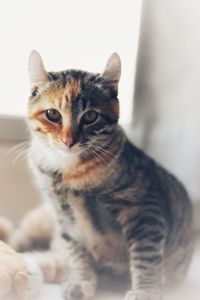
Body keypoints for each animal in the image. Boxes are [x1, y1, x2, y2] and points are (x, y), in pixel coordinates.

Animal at [26, 51, 194, 300]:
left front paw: (145, 291)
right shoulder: (64, 217)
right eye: (52, 114)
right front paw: (82, 282)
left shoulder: (144, 209)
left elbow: (145, 257)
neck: (69, 172)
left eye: (90, 116)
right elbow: (78, 253)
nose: (69, 141)